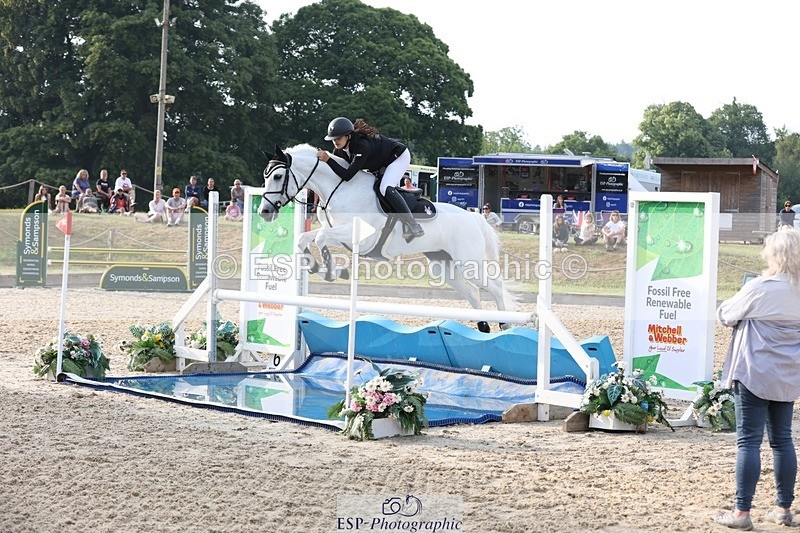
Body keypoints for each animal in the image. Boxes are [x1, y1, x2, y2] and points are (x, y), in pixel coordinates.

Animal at [259, 144, 517, 332]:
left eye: (278, 176)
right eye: (265, 176)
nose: (264, 212)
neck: (340, 188)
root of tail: (474, 217)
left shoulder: (360, 237)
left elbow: (321, 237)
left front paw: (332, 271)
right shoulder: (339, 234)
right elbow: (305, 238)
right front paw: (313, 266)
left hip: (469, 261)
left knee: (494, 286)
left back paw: (505, 323)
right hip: (443, 264)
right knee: (472, 292)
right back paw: (483, 326)